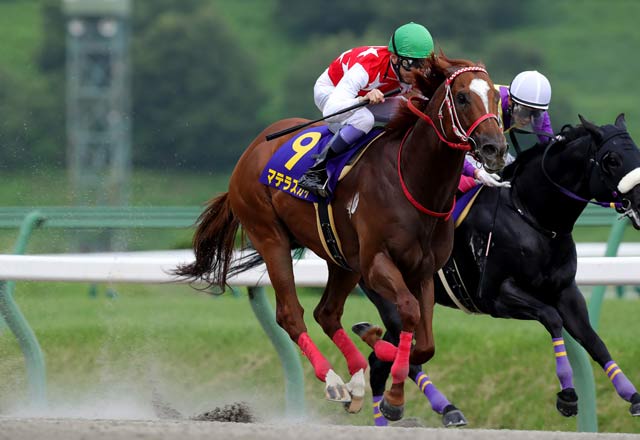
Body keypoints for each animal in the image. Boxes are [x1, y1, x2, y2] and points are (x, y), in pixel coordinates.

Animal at [174, 53, 508, 417]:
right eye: (461, 97)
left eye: (495, 95)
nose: (495, 148)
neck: (413, 181)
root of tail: (253, 149)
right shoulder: (377, 263)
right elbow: (408, 312)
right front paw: (392, 394)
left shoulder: (423, 271)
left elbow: (426, 345)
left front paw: (384, 364)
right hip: (270, 235)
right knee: (291, 314)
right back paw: (334, 381)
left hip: (342, 259)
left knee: (327, 313)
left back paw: (357, 382)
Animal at [355, 113, 640, 426]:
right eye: (611, 159)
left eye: (637, 152)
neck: (531, 215)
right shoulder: (496, 295)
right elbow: (552, 318)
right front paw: (567, 395)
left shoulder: (566, 291)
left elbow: (592, 339)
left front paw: (631, 394)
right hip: (389, 294)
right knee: (404, 353)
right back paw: (441, 407)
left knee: (380, 361)